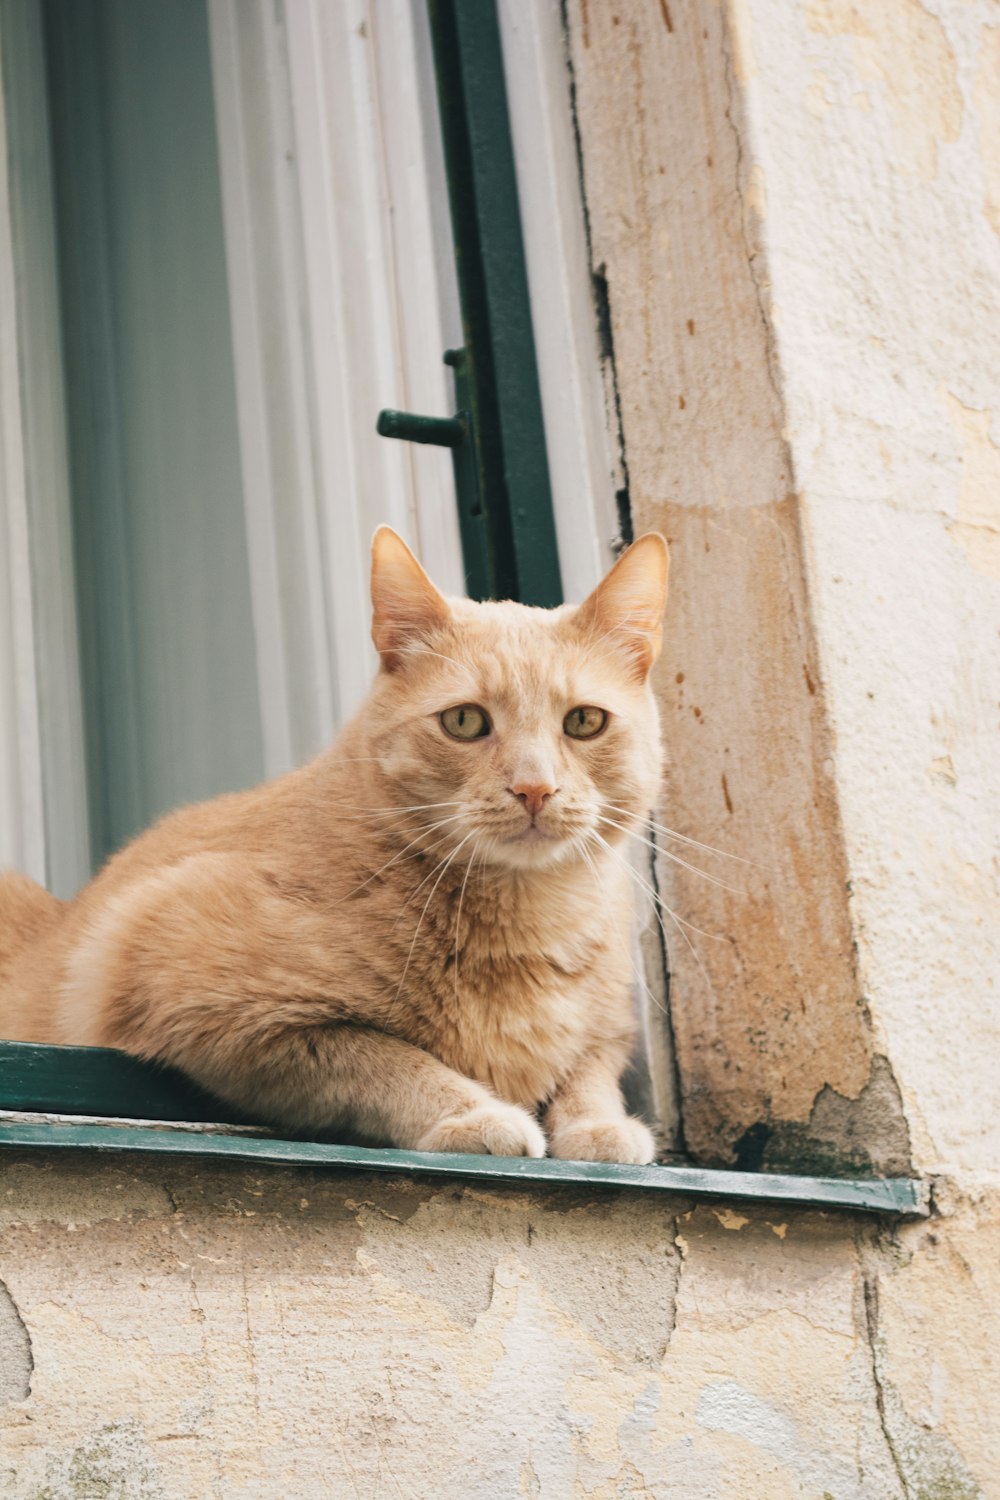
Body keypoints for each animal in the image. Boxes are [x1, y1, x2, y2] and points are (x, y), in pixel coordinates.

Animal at [3, 534, 671, 1164]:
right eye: (464, 722)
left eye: (584, 721)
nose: (535, 788)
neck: (531, 918)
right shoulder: (197, 987)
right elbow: (383, 1057)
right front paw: (472, 1113)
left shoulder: (611, 1032)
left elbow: (588, 1071)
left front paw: (598, 1126)